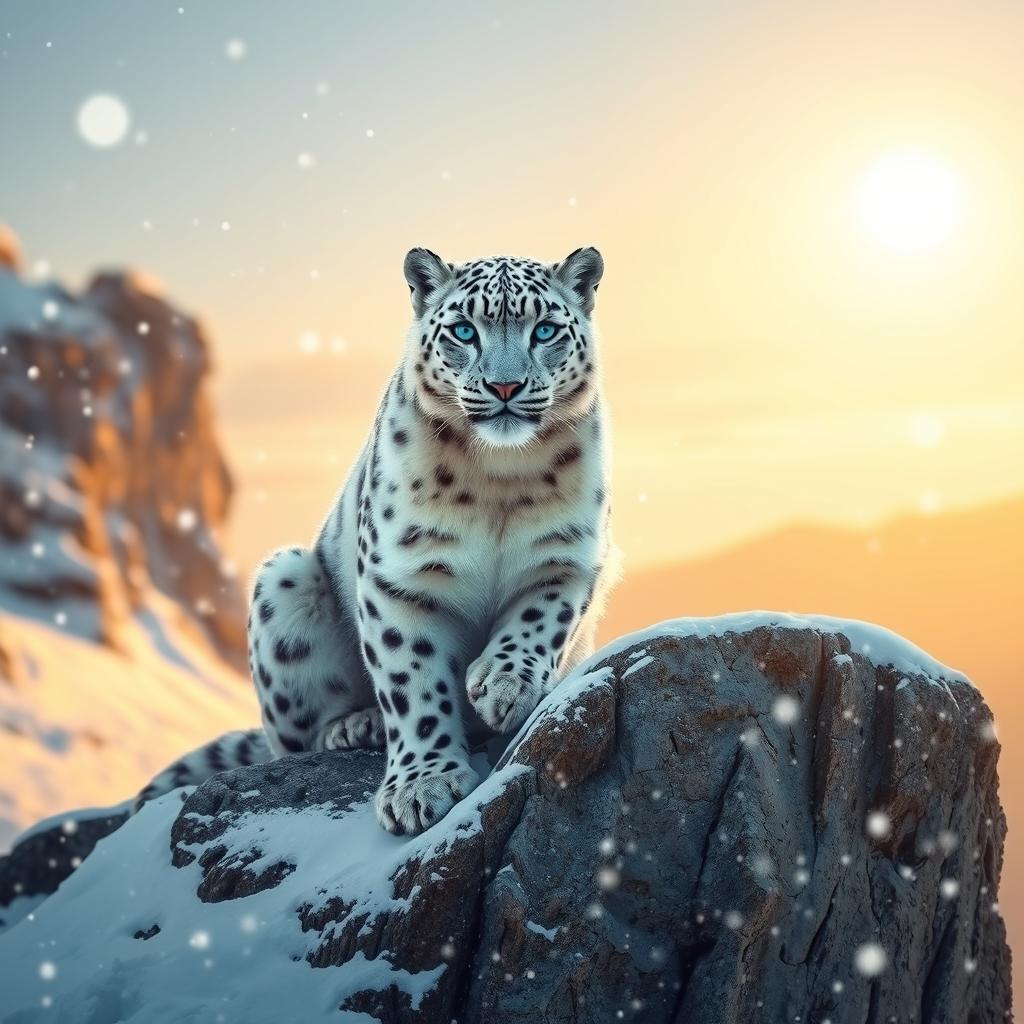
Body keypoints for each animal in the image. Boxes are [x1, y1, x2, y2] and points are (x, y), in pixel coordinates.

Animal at [139, 245, 610, 831]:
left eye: (545, 330)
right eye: (464, 330)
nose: (505, 386)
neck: (500, 480)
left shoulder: (566, 558)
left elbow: (537, 624)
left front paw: (503, 686)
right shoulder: (400, 578)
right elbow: (413, 681)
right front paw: (422, 786)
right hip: (284, 585)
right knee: (294, 739)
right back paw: (355, 726)